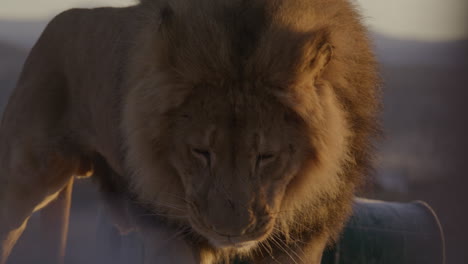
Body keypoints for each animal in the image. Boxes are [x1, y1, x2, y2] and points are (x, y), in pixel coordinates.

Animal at [0, 0, 378, 264]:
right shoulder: (172, 232)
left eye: (266, 156)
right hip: (22, 183)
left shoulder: (301, 236)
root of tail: (58, 18)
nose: (231, 233)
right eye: (201, 152)